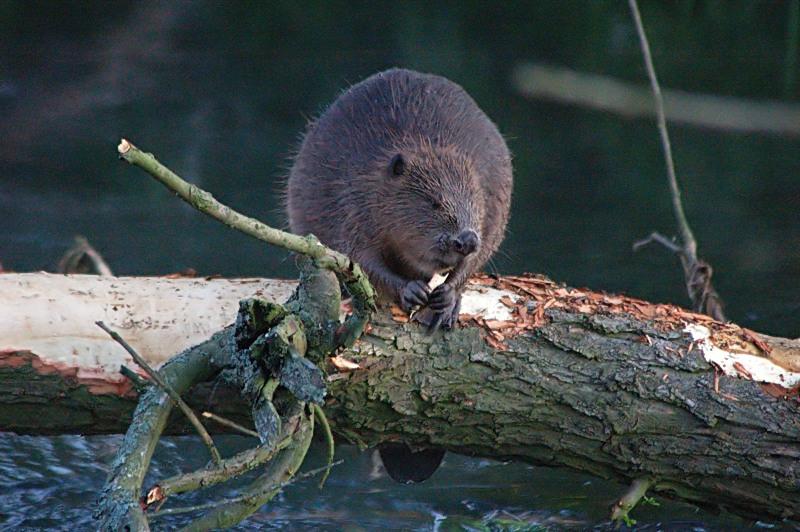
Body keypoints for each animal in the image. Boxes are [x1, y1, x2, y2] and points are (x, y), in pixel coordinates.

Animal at [288, 68, 512, 330]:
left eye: (474, 203)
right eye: (434, 202)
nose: (466, 240)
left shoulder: (491, 200)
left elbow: (479, 253)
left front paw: (446, 298)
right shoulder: (353, 203)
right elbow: (359, 257)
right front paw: (412, 291)